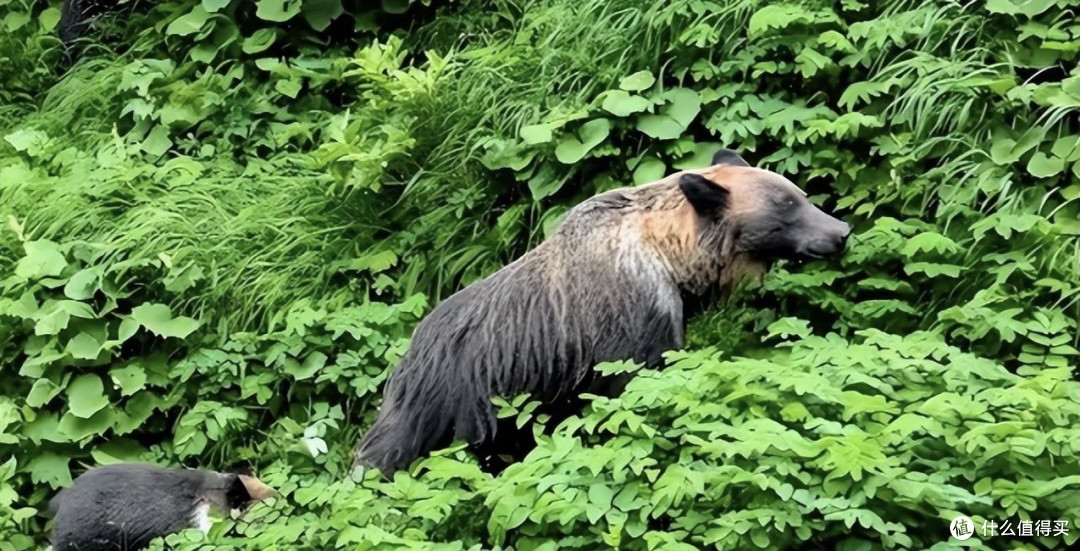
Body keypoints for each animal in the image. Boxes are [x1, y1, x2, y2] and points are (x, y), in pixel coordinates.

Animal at [353, 149, 850, 476]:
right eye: (787, 204)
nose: (841, 231)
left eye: (798, 193)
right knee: (390, 449)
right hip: (457, 395)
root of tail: (409, 351)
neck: (673, 260)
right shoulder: (632, 323)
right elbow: (634, 389)